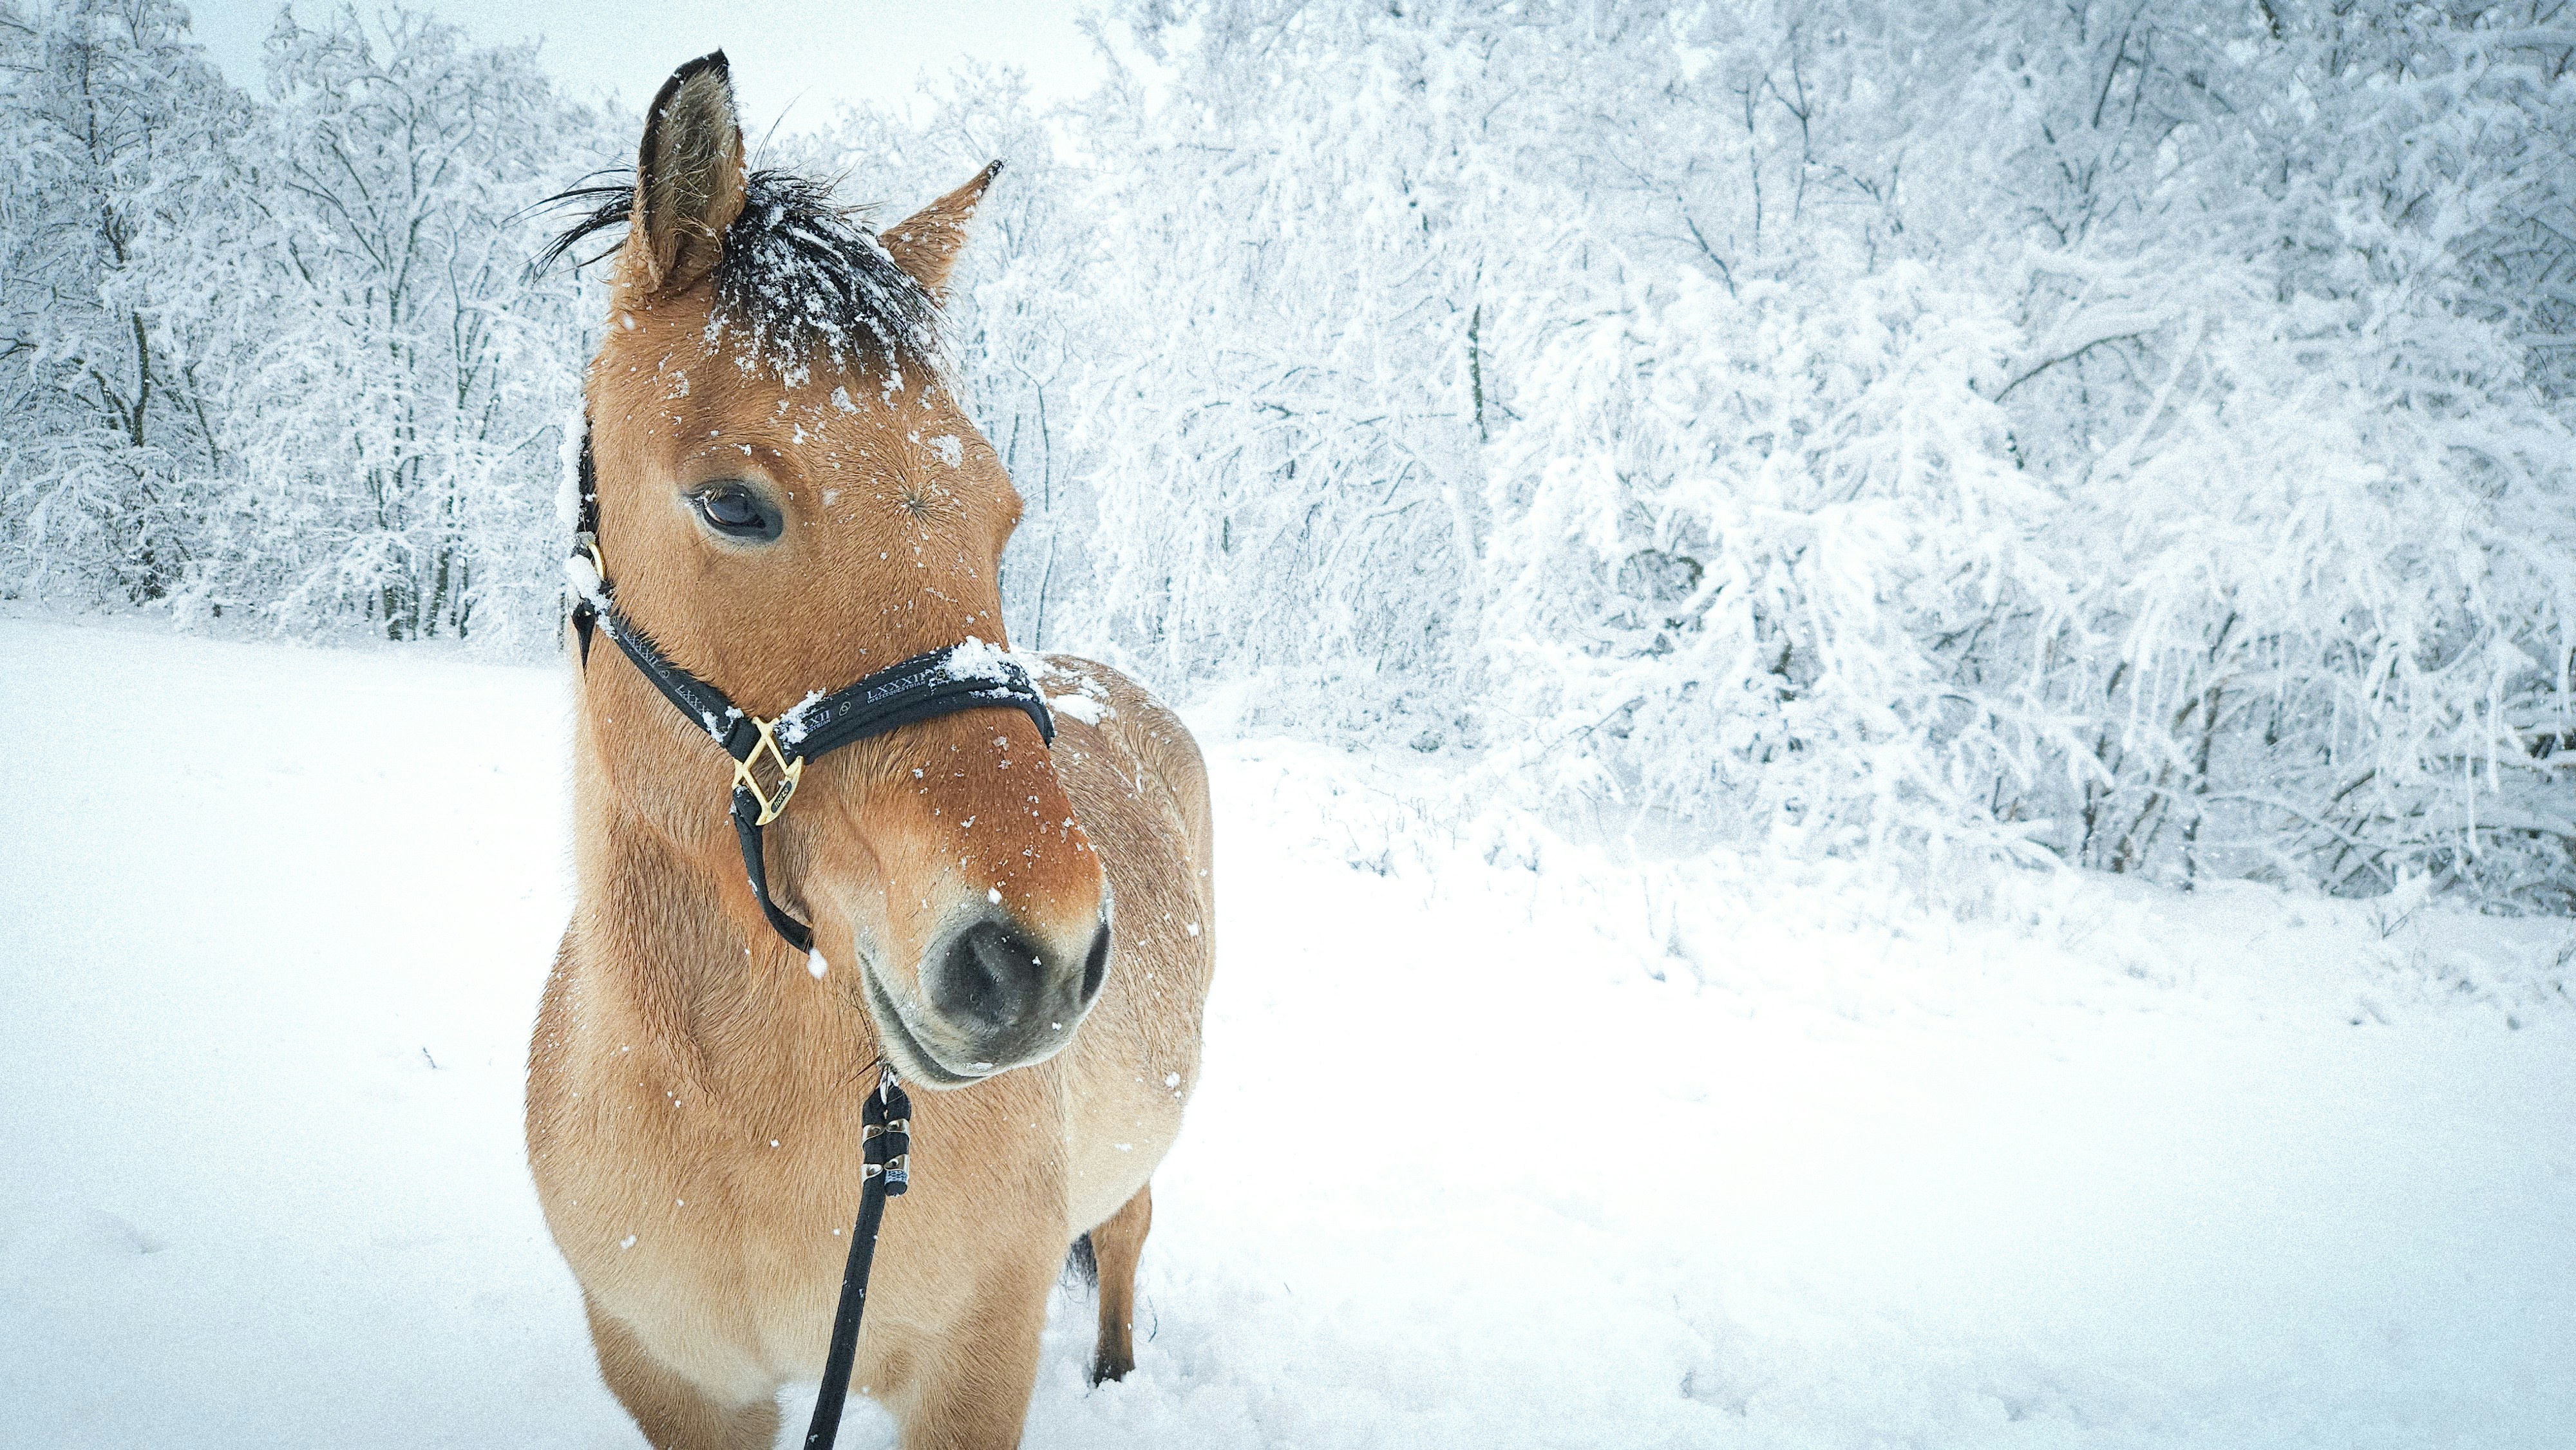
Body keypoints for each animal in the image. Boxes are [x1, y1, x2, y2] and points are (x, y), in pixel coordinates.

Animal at [524, 52, 1215, 1449]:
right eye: (731, 504)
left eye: (1003, 513)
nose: (1033, 957)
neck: (738, 1130)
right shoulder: (675, 1380)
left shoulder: (972, 1367)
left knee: (1124, 1236)